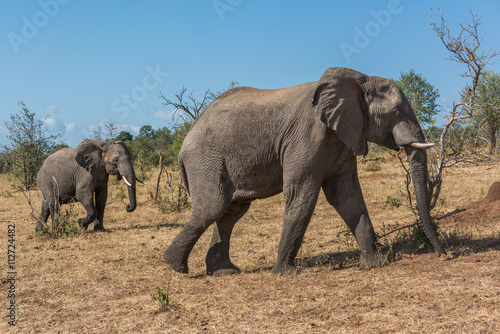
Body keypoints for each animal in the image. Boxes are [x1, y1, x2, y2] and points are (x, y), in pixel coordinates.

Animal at [165, 66, 446, 276]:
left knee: (230, 212)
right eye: (396, 112)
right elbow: (303, 194)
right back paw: (175, 266)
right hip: (206, 161)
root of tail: (185, 140)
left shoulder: (344, 137)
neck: (359, 80)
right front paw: (284, 274)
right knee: (212, 207)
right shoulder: (307, 136)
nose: (443, 254)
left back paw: (223, 271)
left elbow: (347, 197)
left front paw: (375, 264)